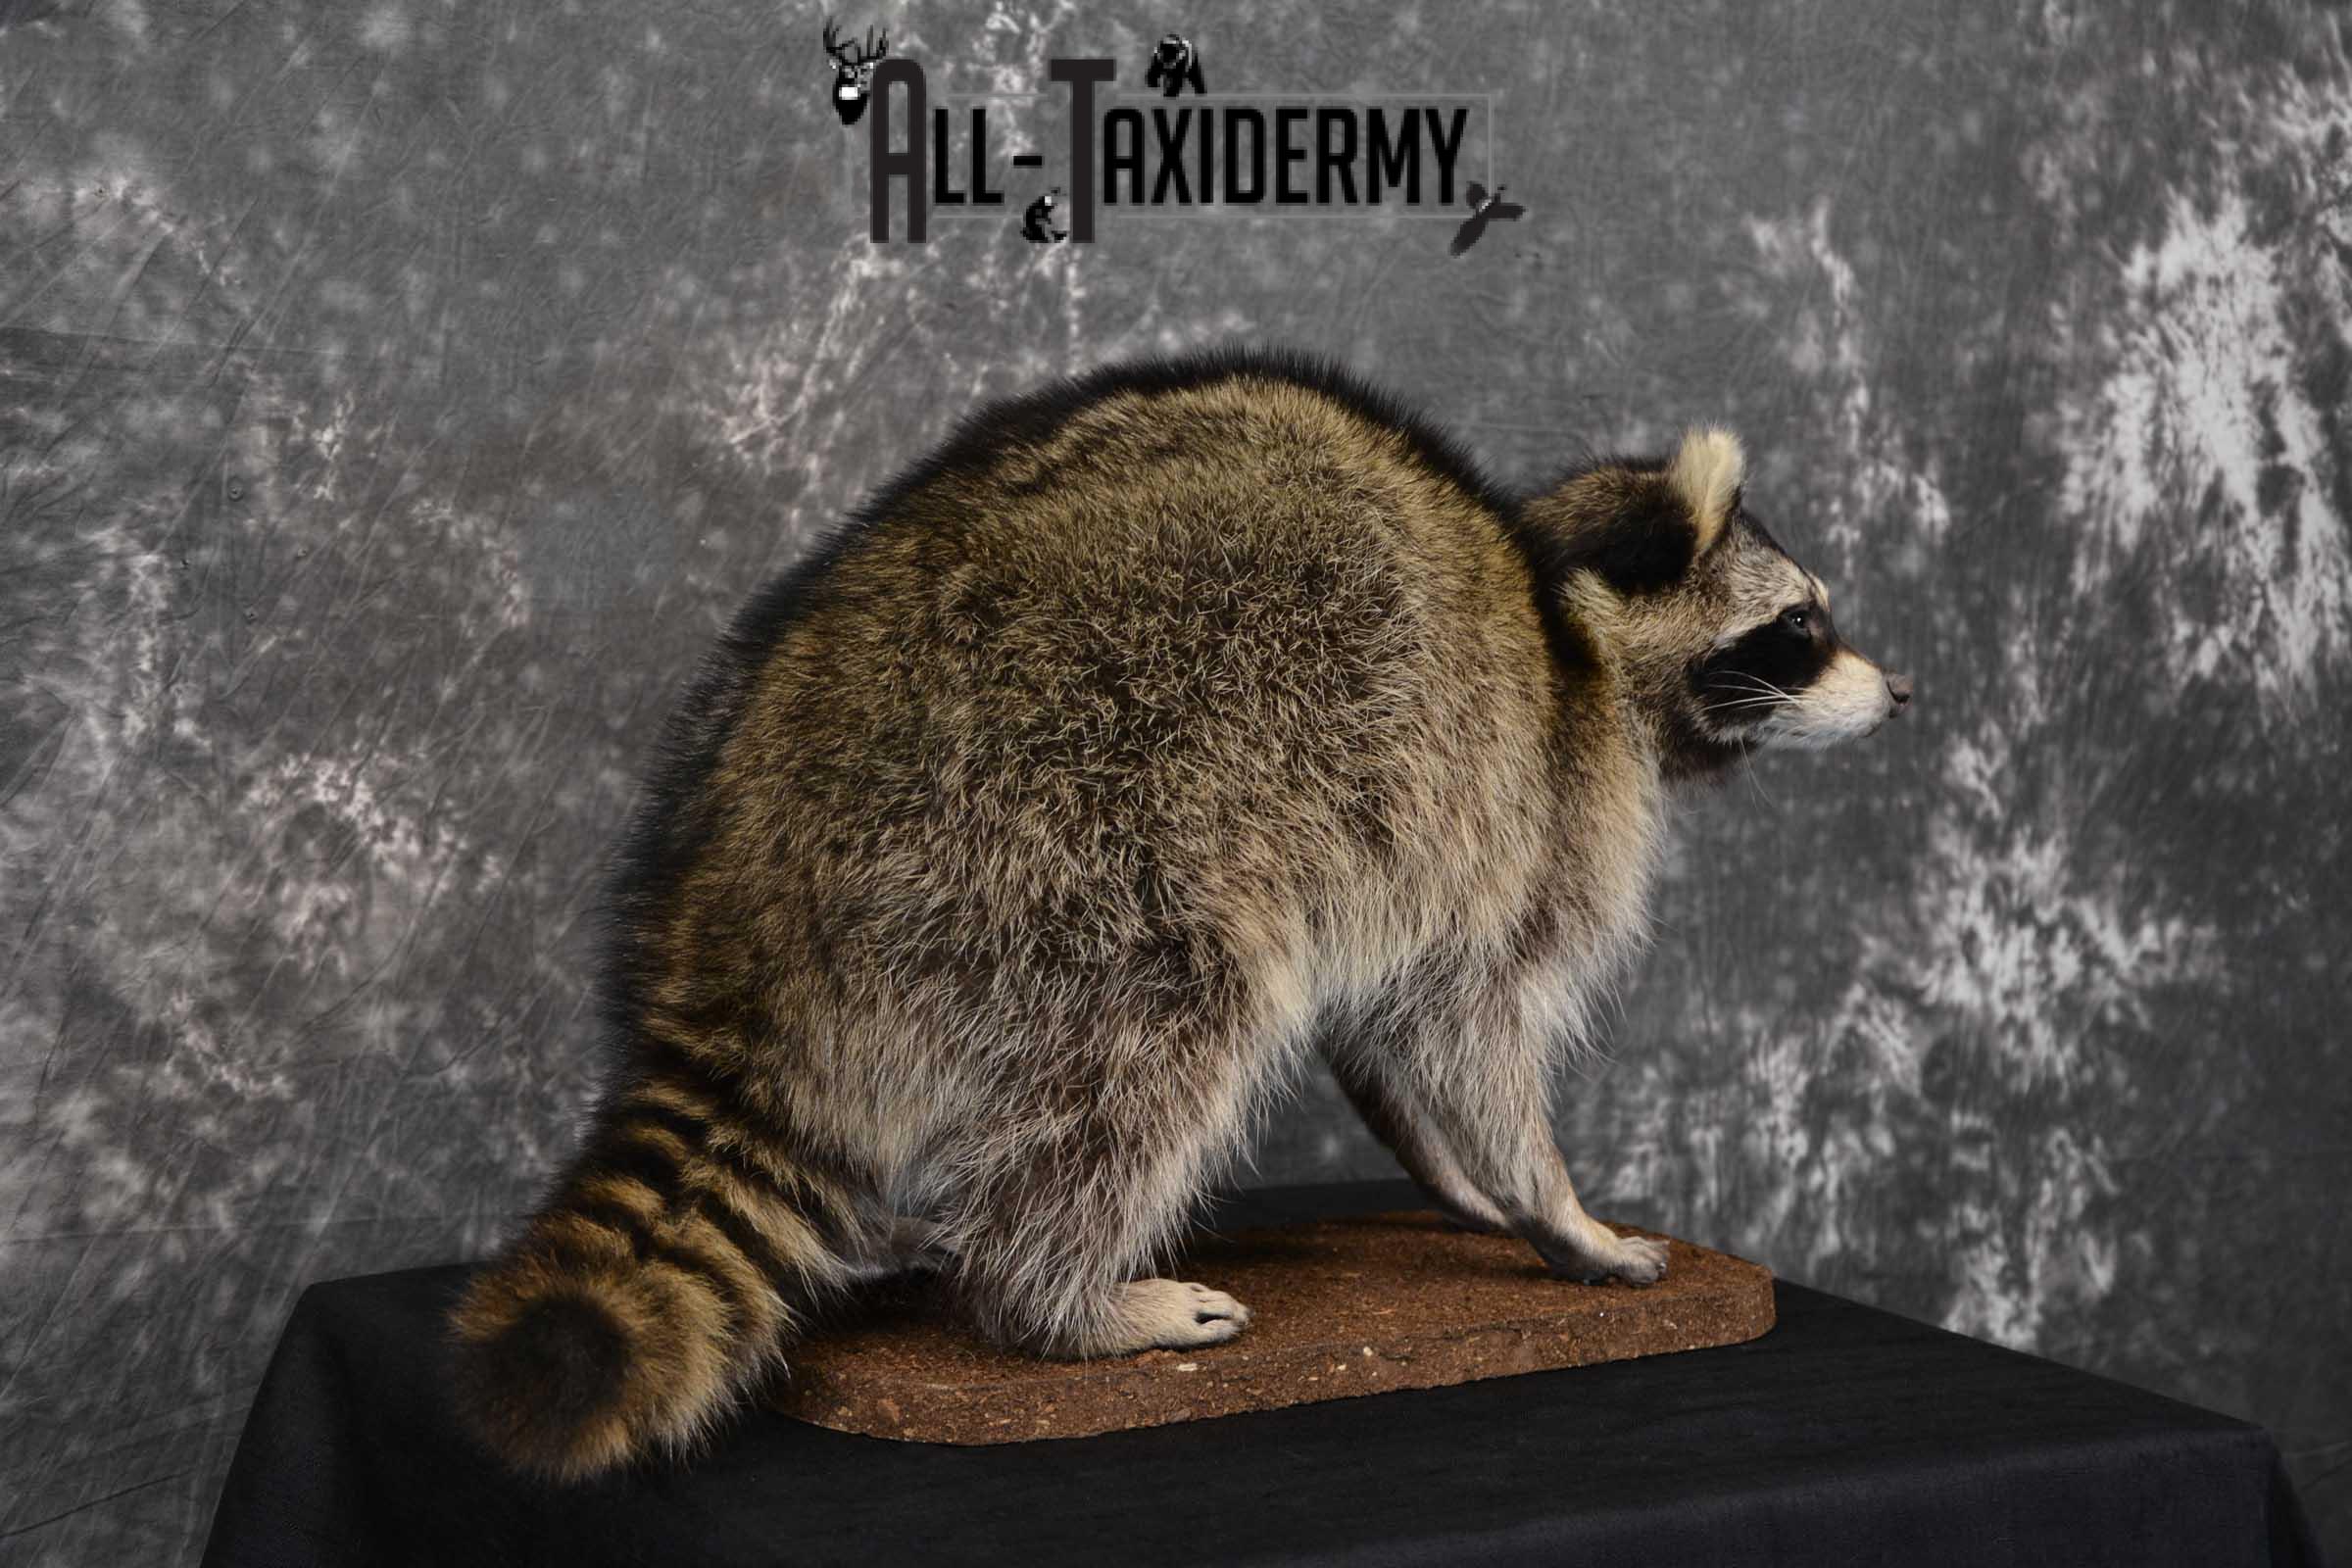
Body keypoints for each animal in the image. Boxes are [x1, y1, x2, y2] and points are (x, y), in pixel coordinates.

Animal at [448, 346, 1910, 1482]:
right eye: (1801, 628)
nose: (1901, 696)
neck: (1566, 614)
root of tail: (742, 904)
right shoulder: (1532, 802)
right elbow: (1472, 1025)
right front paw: (1552, 1204)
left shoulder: (1421, 839)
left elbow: (1386, 1025)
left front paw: (1448, 1178)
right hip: (1044, 847)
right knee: (1165, 1030)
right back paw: (1050, 1299)